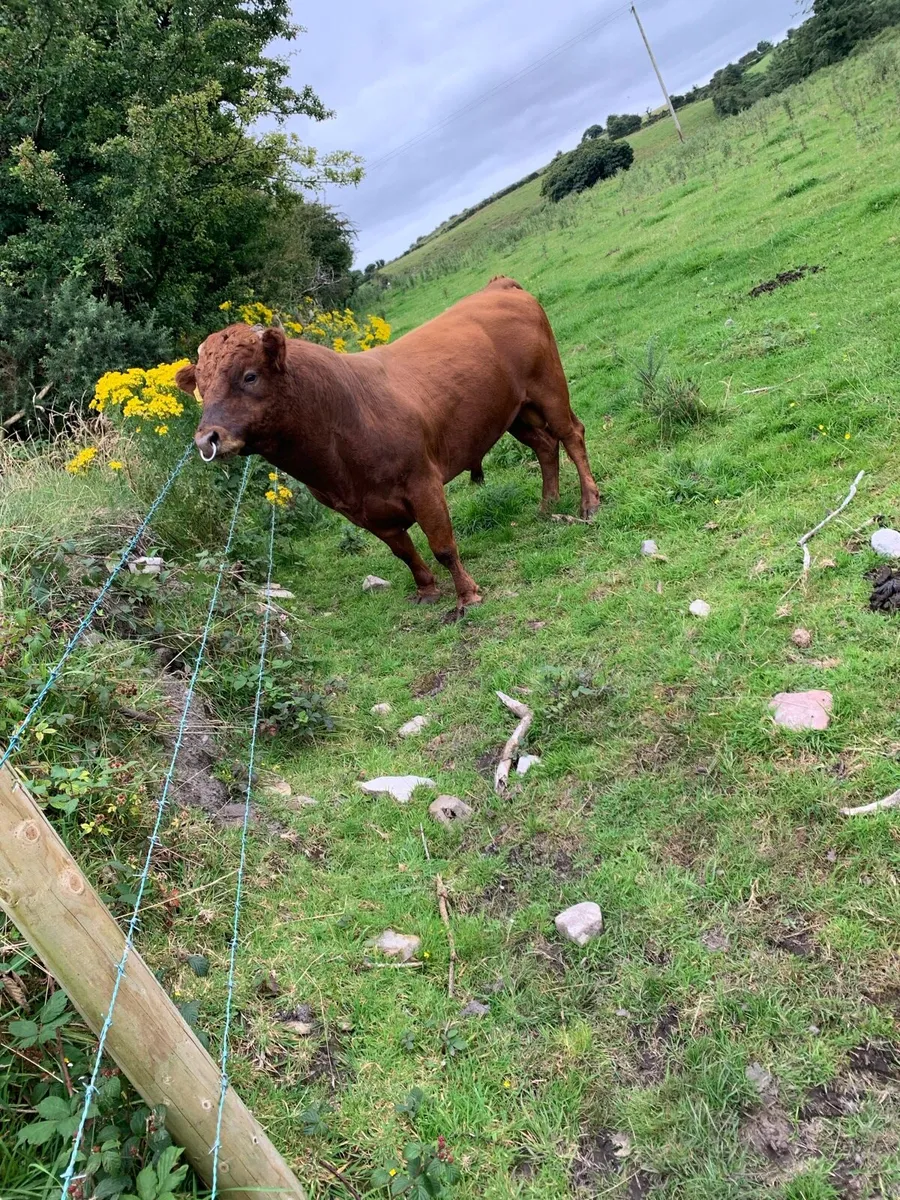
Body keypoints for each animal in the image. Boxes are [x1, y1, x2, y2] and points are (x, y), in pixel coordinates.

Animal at [175, 277, 600, 618]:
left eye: (249, 376)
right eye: (201, 388)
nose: (206, 439)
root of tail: (498, 286)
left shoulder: (423, 483)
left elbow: (442, 545)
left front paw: (467, 596)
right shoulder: (362, 510)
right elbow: (404, 551)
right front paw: (427, 591)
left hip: (549, 387)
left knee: (572, 435)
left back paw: (588, 502)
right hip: (515, 412)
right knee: (545, 446)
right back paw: (547, 505)